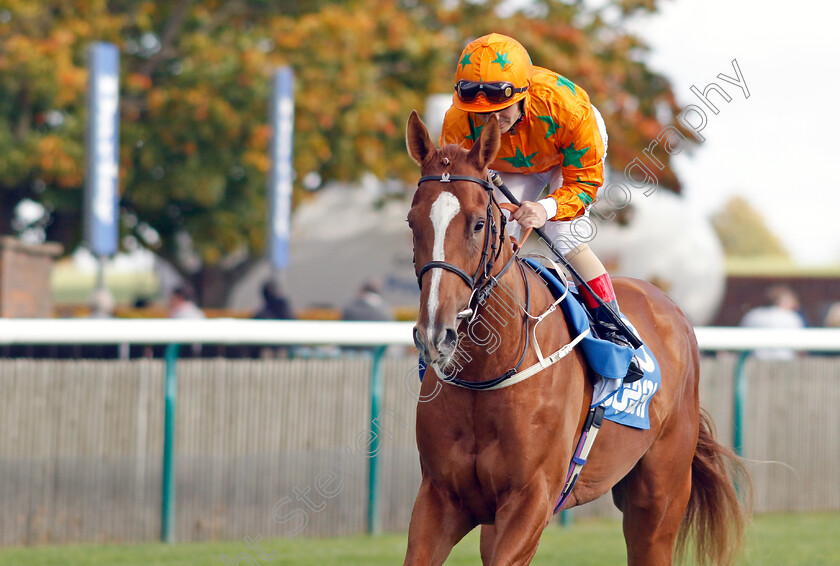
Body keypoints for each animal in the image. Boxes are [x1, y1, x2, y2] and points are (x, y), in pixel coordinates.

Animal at [402, 112, 748, 566]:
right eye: (413, 222)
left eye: (478, 223)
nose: (434, 332)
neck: (487, 372)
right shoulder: (440, 496)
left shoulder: (532, 499)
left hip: (659, 498)